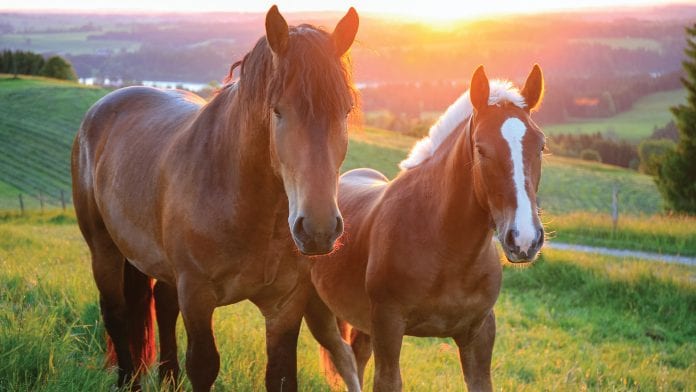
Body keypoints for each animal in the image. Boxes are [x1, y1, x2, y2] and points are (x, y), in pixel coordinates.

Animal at [72, 6, 358, 392]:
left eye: (345, 111)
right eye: (277, 110)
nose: (318, 230)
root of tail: (105, 104)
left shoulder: (284, 304)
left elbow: (282, 374)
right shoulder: (197, 294)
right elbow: (204, 364)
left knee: (163, 309)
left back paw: (168, 380)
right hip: (104, 249)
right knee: (116, 314)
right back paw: (128, 381)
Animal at [308, 66, 544, 390]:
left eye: (541, 145)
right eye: (481, 149)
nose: (524, 240)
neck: (444, 248)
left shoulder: (479, 334)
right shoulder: (388, 327)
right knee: (343, 359)